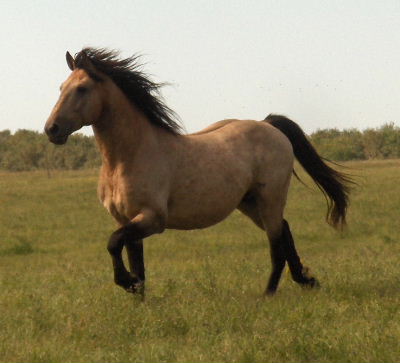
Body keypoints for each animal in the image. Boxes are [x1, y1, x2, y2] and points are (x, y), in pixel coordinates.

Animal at [43, 48, 350, 298]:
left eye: (82, 89)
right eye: (61, 87)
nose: (51, 129)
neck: (125, 159)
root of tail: (269, 125)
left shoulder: (153, 218)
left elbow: (114, 243)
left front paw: (127, 283)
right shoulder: (127, 219)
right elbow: (134, 259)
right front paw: (138, 298)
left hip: (270, 198)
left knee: (276, 243)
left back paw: (269, 294)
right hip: (249, 203)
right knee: (284, 230)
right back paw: (307, 281)